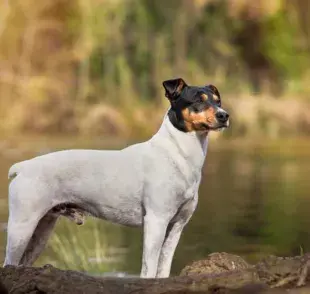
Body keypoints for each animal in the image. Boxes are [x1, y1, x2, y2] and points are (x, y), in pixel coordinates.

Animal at [3, 78, 229, 278]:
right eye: (198, 100)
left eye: (218, 101)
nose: (224, 115)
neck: (177, 154)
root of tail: (23, 167)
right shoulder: (156, 221)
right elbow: (149, 270)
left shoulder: (177, 226)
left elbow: (163, 269)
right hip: (22, 227)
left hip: (41, 232)